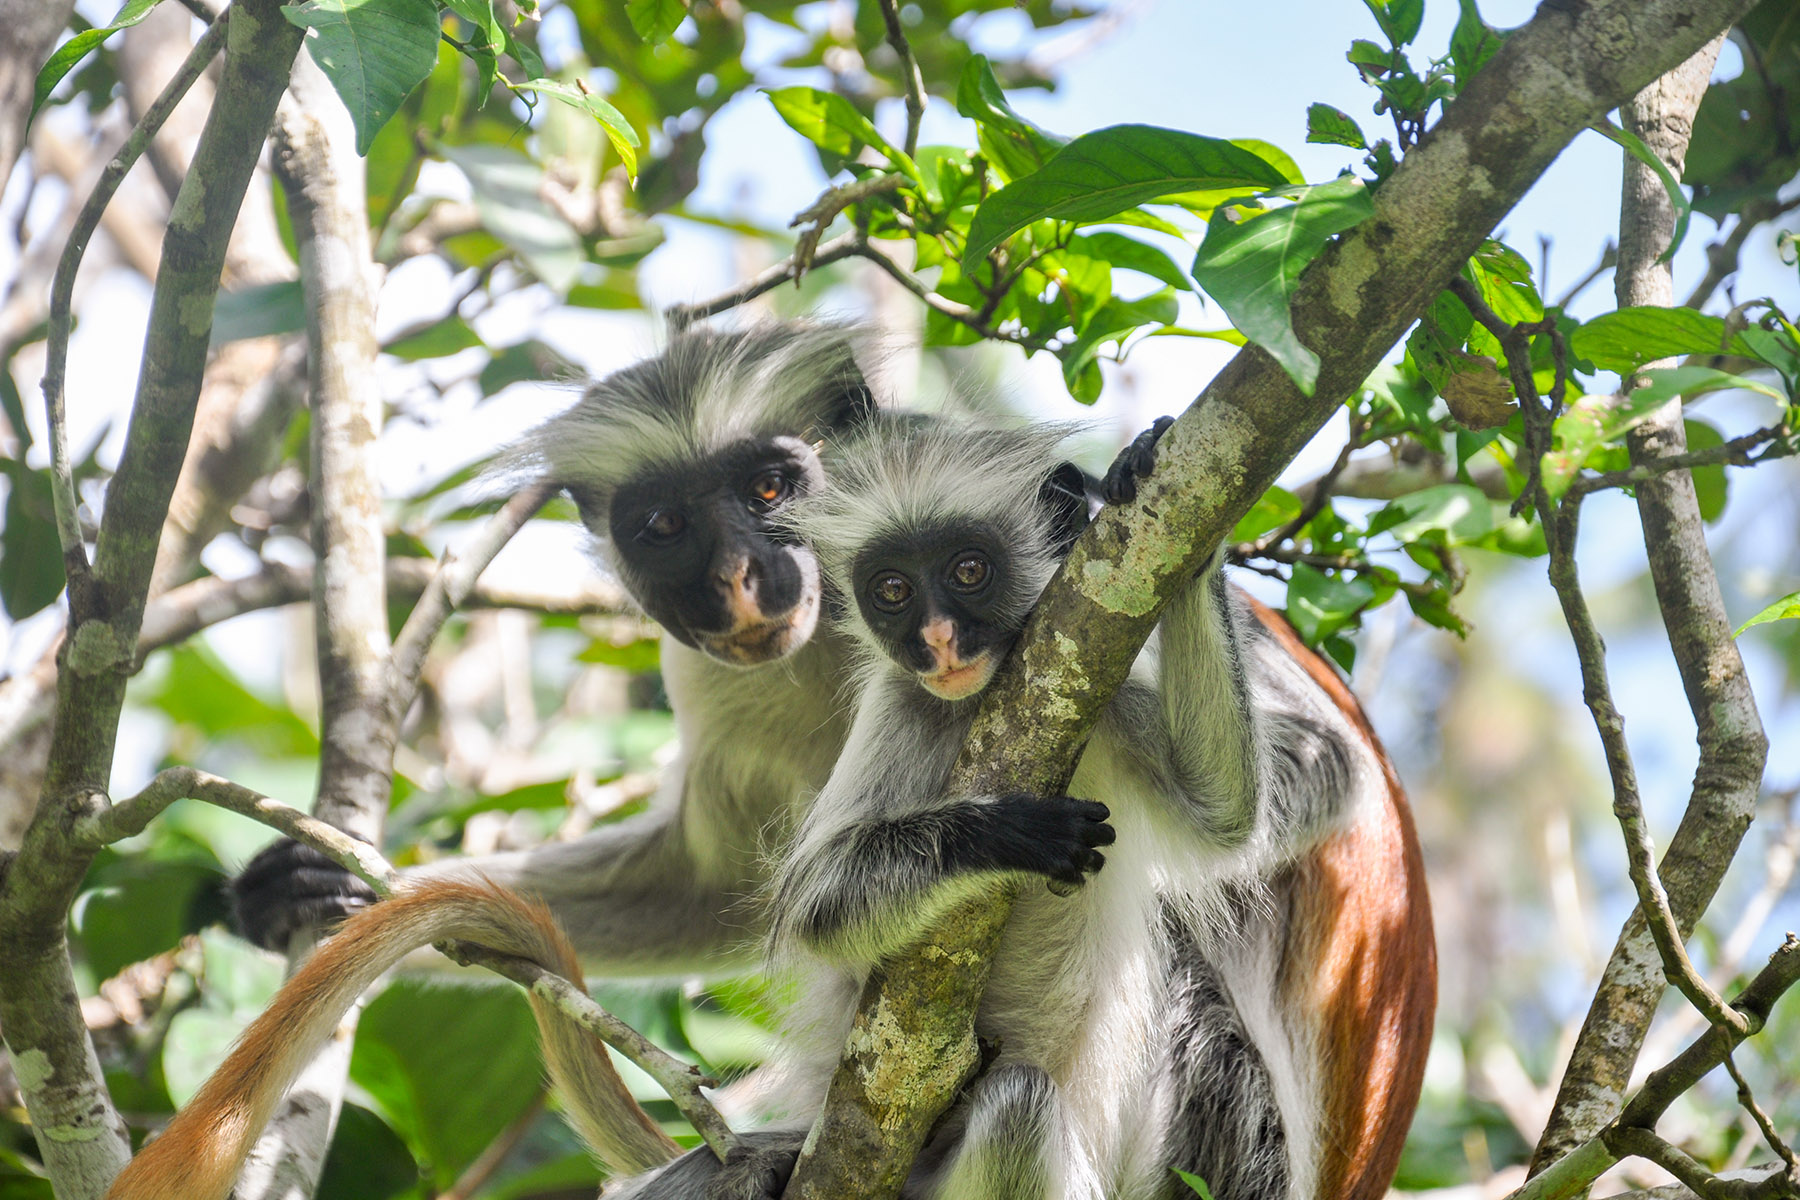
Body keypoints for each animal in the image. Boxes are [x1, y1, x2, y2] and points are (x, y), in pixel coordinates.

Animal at [235, 323, 882, 978]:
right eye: (666, 524)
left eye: (768, 488)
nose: (738, 578)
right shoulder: (706, 679)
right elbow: (714, 889)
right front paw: (310, 889)